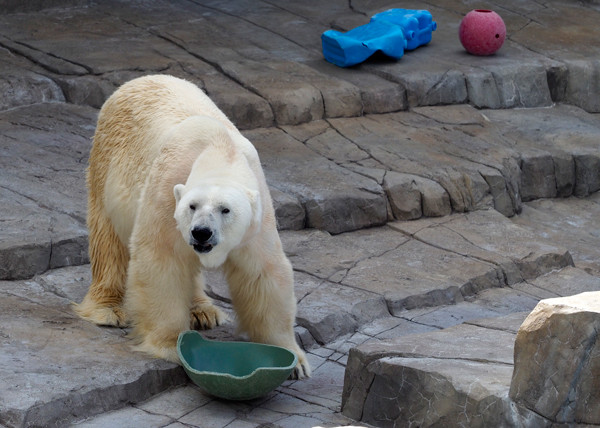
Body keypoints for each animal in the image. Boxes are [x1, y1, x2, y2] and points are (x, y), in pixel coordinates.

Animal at [73, 73, 312, 378]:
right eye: (192, 206)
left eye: (226, 210)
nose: (201, 232)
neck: (221, 152)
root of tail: (139, 79)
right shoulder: (166, 192)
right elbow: (162, 259)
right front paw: (171, 345)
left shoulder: (257, 214)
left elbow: (263, 272)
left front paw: (295, 361)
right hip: (107, 160)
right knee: (108, 238)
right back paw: (108, 310)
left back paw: (203, 311)